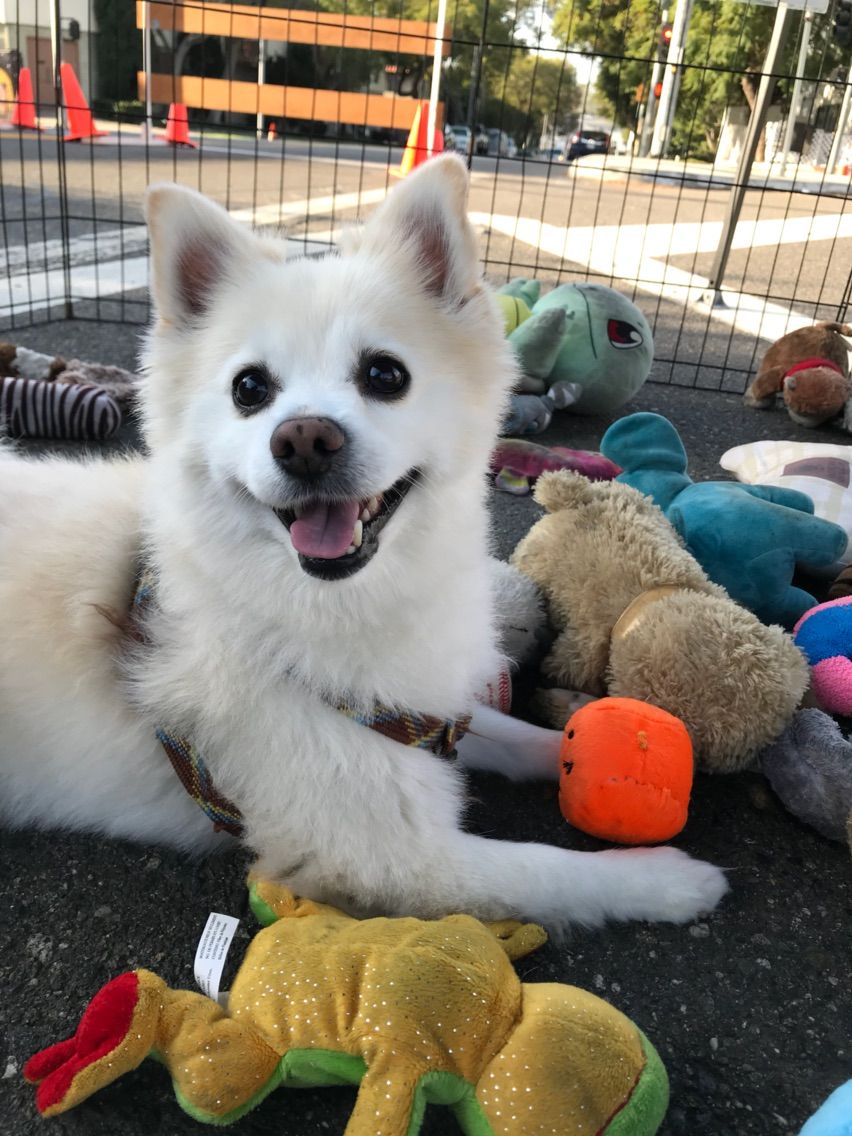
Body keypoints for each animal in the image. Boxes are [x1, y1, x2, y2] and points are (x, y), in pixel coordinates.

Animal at [0, 155, 726, 932]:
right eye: (249, 389)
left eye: (385, 374)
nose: (304, 439)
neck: (335, 603)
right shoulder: (388, 852)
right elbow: (548, 871)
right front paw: (669, 881)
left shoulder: (417, 714)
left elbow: (508, 732)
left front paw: (573, 744)